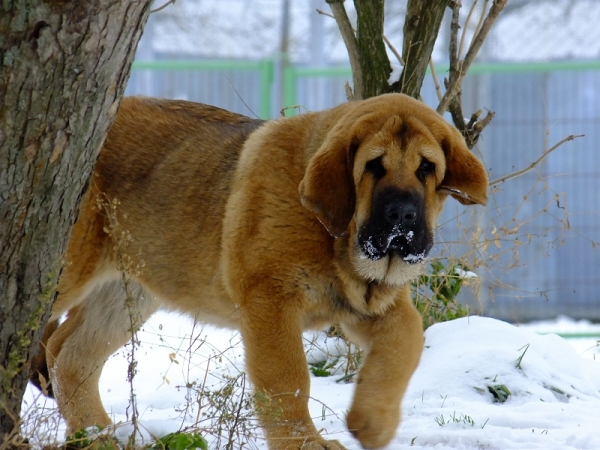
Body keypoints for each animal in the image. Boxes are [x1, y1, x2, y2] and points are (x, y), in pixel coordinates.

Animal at [30, 93, 488, 448]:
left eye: (426, 168)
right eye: (373, 165)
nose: (402, 216)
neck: (334, 235)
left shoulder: (373, 302)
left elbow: (405, 343)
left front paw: (373, 422)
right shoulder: (270, 299)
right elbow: (289, 382)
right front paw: (304, 445)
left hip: (131, 291)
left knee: (69, 355)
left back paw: (99, 436)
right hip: (69, 273)